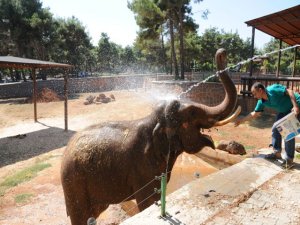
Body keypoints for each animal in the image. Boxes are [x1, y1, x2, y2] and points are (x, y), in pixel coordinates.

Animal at [61, 48, 241, 224]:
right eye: (192, 112)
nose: (222, 52)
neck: (154, 121)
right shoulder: (142, 168)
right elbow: (147, 202)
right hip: (74, 183)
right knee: (80, 215)